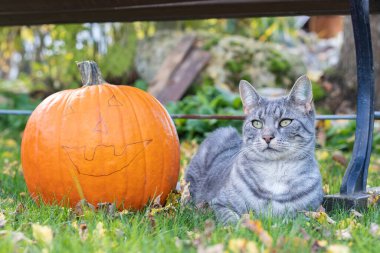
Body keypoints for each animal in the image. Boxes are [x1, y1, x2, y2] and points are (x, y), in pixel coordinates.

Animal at [186, 75, 322, 223]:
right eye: (257, 123)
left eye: (285, 122)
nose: (267, 137)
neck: (275, 171)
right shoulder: (217, 203)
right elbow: (229, 217)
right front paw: (237, 225)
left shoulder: (310, 211)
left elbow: (297, 219)